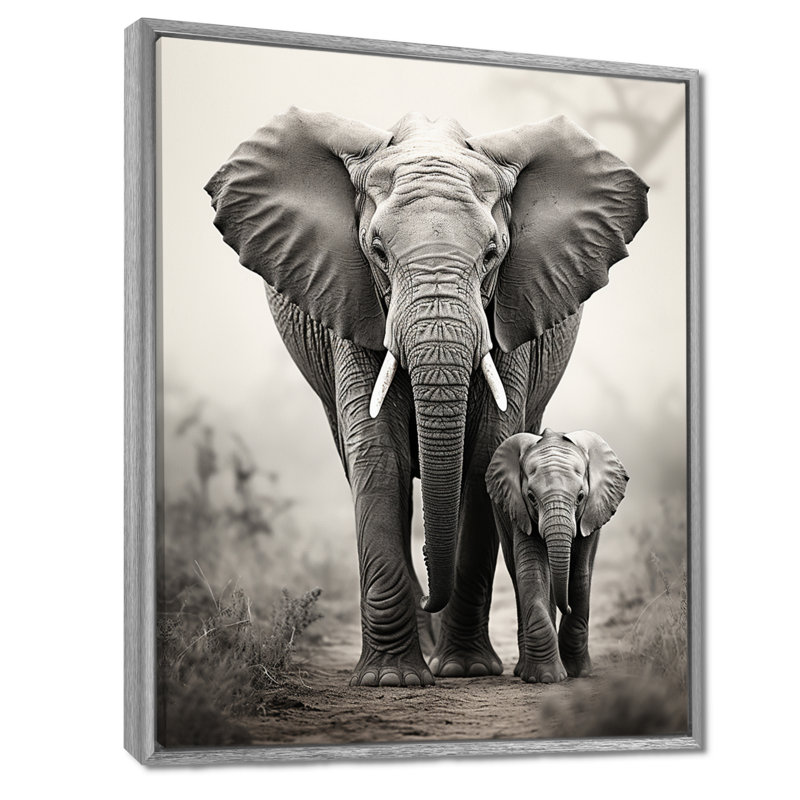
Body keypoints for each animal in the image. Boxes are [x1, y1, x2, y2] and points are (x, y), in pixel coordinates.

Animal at [485, 429, 629, 683]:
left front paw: (578, 673)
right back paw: (523, 671)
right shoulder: (520, 512)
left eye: (580, 497)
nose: (567, 607)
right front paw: (545, 677)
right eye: (531, 497)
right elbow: (532, 572)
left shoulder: (590, 513)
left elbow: (580, 575)